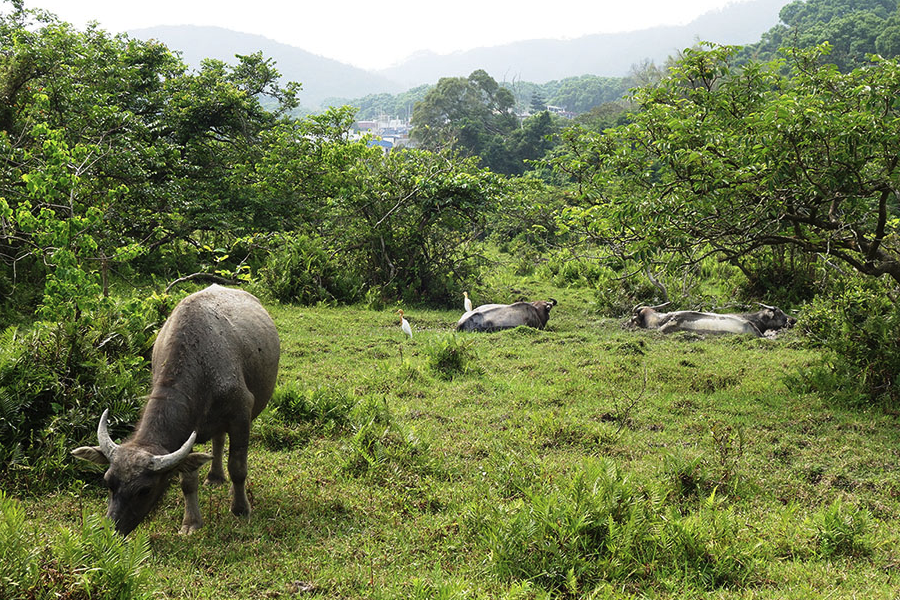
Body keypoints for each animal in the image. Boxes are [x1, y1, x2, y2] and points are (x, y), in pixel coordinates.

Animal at [72, 286, 280, 536]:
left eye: (144, 490)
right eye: (108, 481)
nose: (113, 530)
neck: (200, 361)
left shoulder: (241, 415)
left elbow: (238, 467)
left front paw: (240, 509)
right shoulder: (187, 433)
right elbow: (188, 481)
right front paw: (191, 522)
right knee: (218, 440)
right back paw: (214, 477)